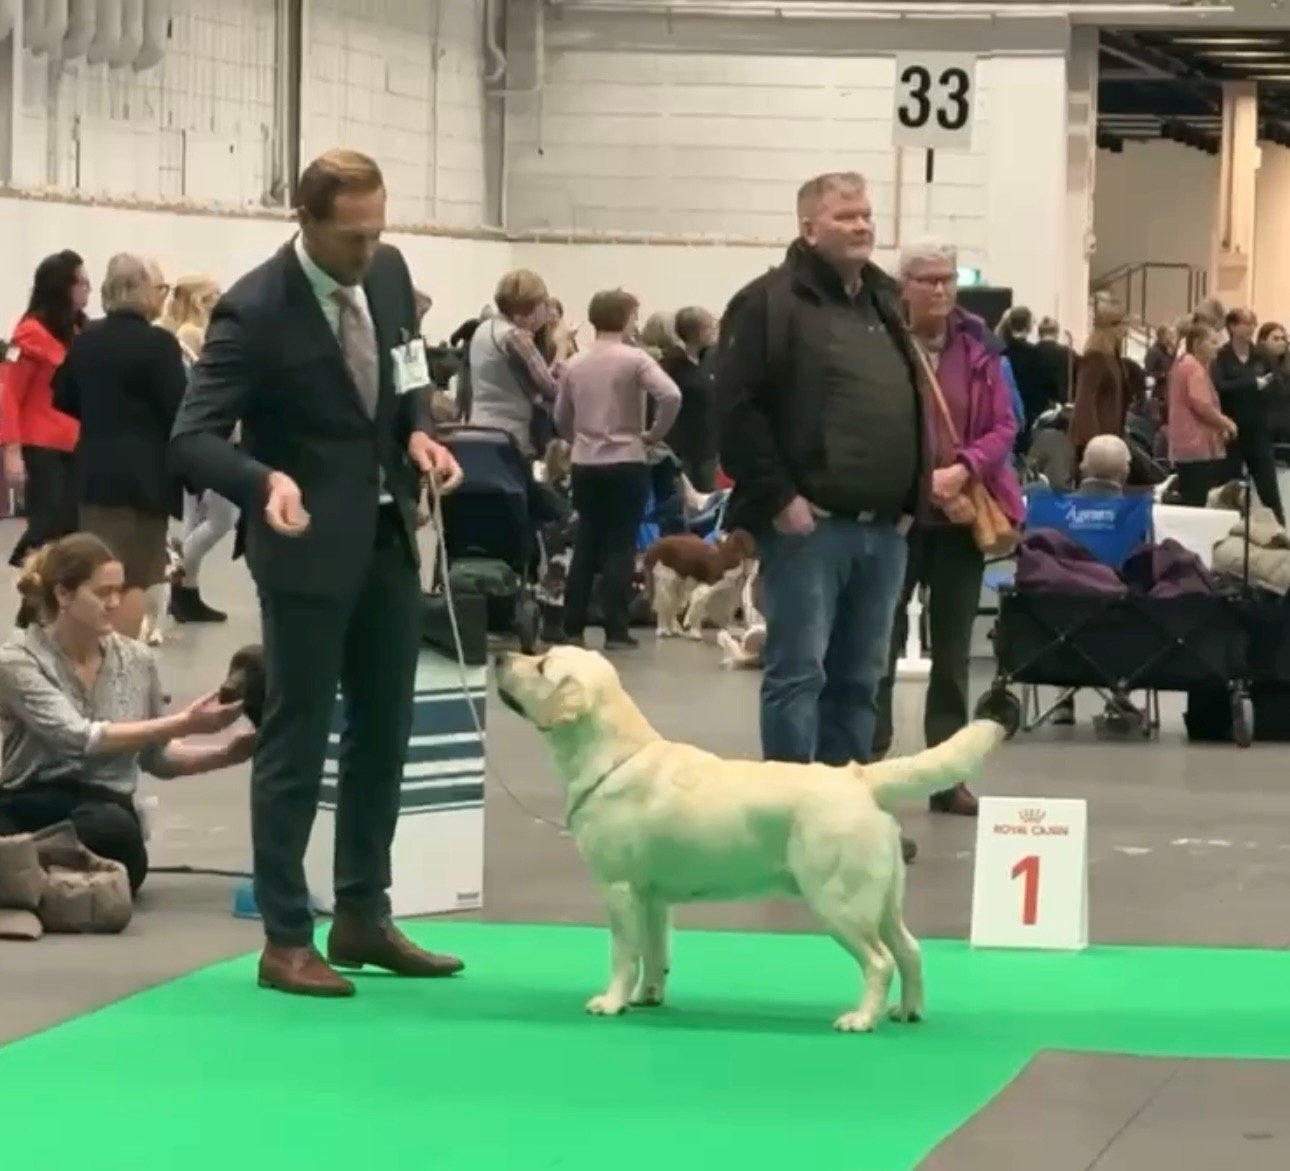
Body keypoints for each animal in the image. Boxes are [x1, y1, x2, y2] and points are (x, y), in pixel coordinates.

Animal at [494, 646, 1006, 1032]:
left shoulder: (619, 889)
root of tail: (857, 776)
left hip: (838, 900)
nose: (499, 654)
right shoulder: (652, 898)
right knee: (910, 950)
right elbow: (655, 951)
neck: (613, 756)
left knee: (880, 962)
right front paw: (647, 996)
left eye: (541, 665)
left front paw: (612, 1001)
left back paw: (861, 1018)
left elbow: (624, 953)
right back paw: (908, 1011)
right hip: (881, 901)